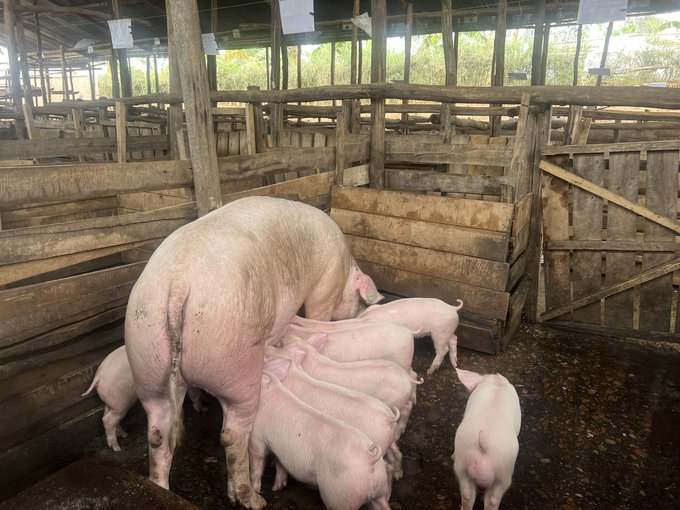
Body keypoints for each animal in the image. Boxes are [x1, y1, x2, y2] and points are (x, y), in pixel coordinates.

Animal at [249, 370, 392, 510]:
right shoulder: (279, 448)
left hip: (341, 495)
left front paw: (255, 490)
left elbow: (258, 460)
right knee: (382, 504)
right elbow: (280, 464)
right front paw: (276, 488)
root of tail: (370, 457)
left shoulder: (257, 435)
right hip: (380, 488)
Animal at [452, 368, 521, 510]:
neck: (498, 384)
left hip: (464, 463)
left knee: (468, 495)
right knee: (493, 499)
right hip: (503, 474)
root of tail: (484, 444)